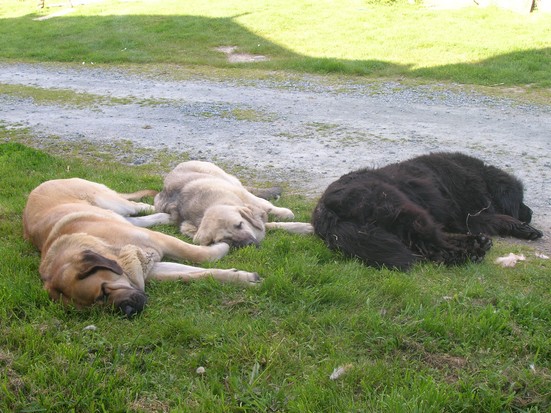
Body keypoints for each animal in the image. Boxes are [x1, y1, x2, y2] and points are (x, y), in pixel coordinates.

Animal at [22, 177, 260, 316]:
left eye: (103, 291)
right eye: (96, 307)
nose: (127, 311)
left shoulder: (160, 242)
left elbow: (198, 255)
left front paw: (222, 248)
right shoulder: (150, 266)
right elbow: (192, 274)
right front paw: (241, 276)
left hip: (110, 201)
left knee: (136, 206)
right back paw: (164, 216)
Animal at [312, 151, 544, 270]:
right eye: (521, 200)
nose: (531, 212)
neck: (479, 176)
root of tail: (326, 207)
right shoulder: (472, 217)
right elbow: (500, 218)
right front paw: (526, 229)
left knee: (431, 246)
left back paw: (476, 245)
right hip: (406, 209)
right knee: (436, 245)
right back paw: (474, 249)